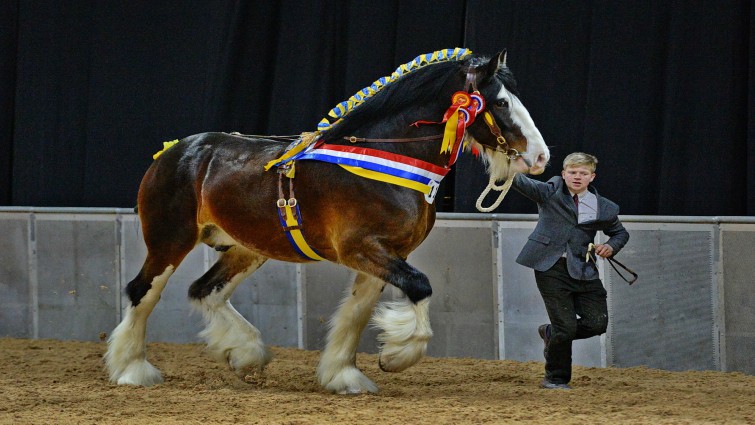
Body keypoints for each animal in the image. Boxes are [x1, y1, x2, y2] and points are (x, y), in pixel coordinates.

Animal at [104, 48, 550, 394]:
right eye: (501, 103)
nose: (540, 157)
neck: (385, 161)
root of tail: (173, 152)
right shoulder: (360, 248)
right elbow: (420, 287)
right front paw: (396, 356)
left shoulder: (386, 254)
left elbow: (355, 314)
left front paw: (344, 375)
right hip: (169, 241)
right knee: (142, 292)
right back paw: (131, 369)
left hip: (247, 248)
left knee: (205, 291)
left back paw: (246, 354)